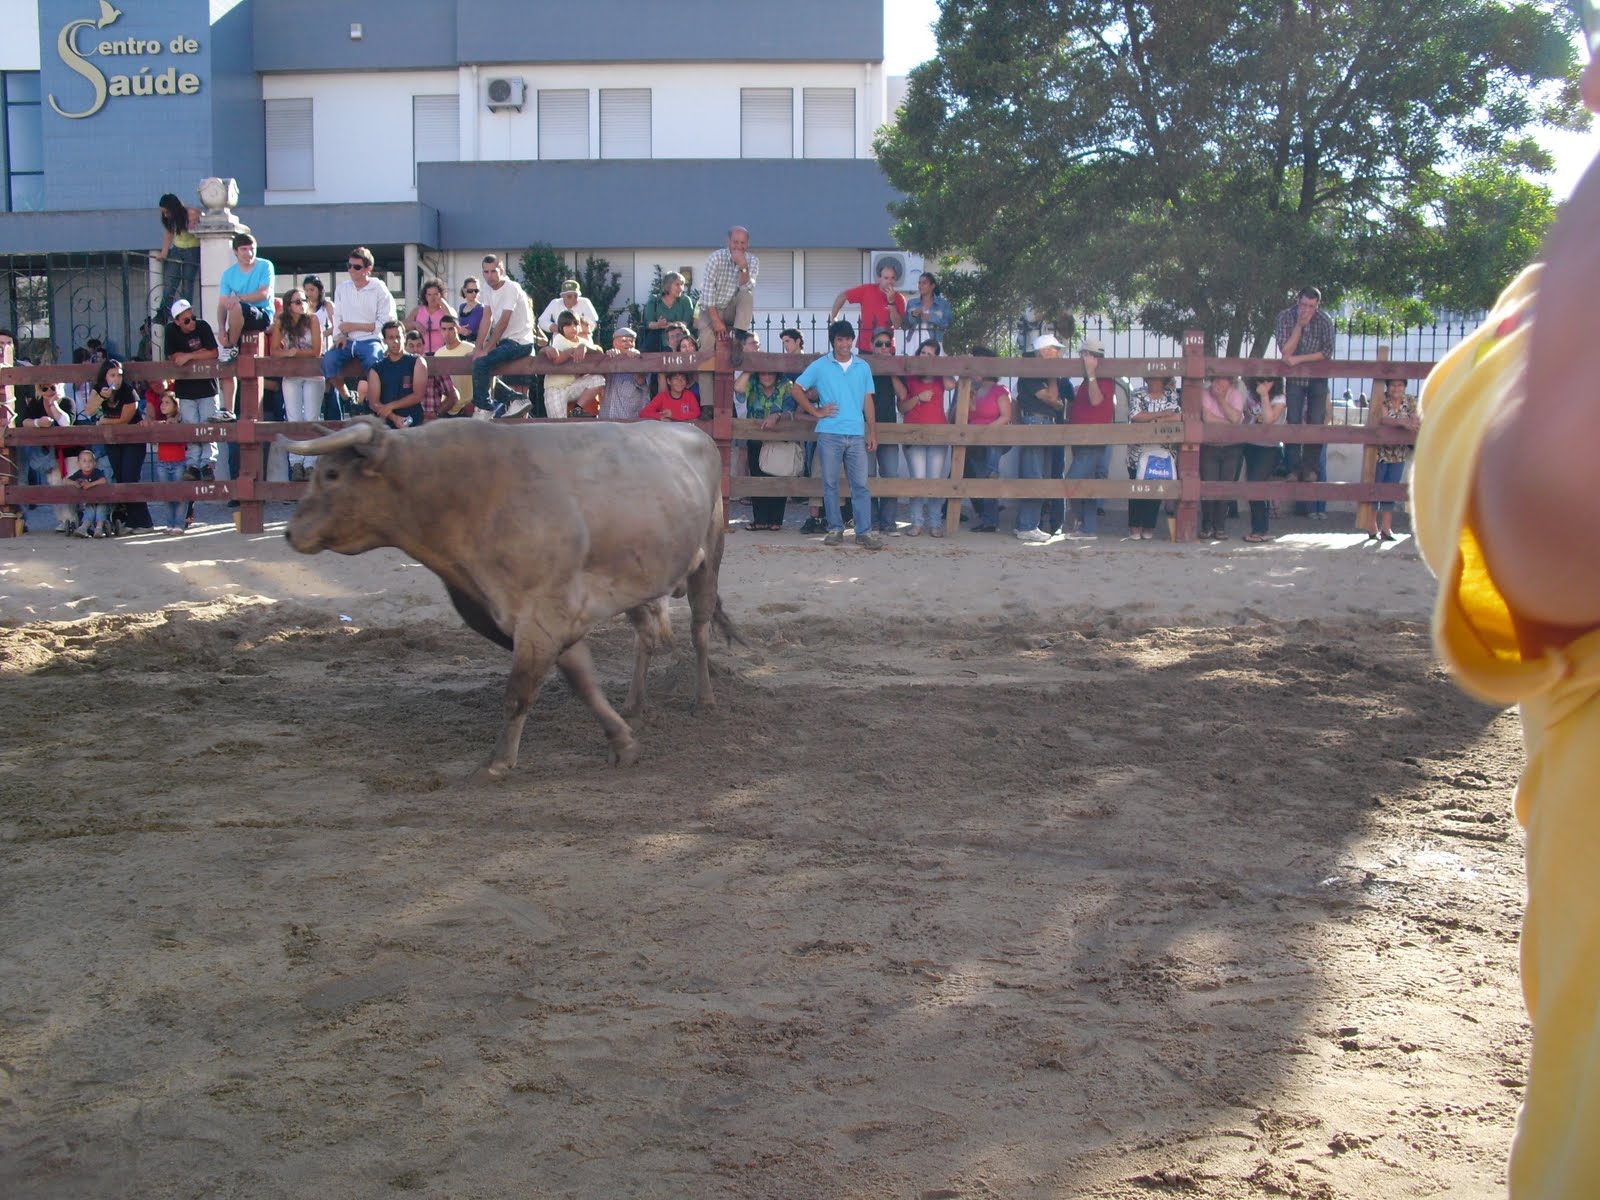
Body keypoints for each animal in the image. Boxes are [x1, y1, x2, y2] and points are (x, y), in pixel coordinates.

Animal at [282, 416, 737, 782]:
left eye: (333, 474)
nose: (289, 532)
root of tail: (693, 431)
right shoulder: (551, 621)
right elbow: (582, 682)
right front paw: (622, 741)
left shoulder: (542, 617)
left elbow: (519, 692)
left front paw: (496, 763)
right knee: (645, 635)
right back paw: (635, 703)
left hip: (709, 557)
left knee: (698, 631)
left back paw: (705, 699)